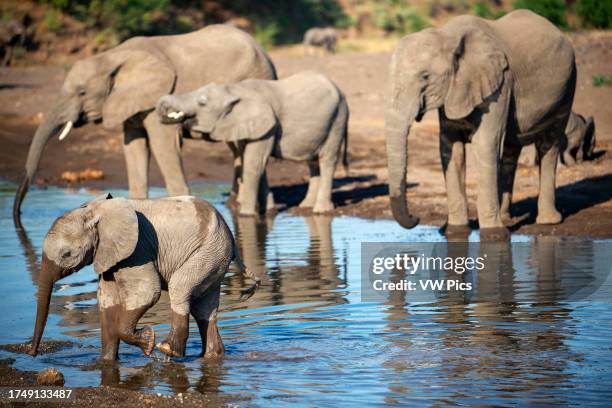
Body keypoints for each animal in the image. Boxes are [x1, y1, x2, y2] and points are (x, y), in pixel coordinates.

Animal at [13, 24, 276, 230]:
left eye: (82, 93)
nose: (18, 214)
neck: (114, 56)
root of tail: (265, 53)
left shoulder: (158, 95)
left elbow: (163, 145)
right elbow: (133, 146)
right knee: (239, 148)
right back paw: (244, 205)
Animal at [29, 194, 258, 360]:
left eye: (66, 255)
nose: (32, 354)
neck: (96, 210)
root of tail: (230, 235)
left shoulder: (137, 250)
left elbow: (148, 292)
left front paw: (148, 343)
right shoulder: (110, 254)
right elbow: (107, 301)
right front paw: (107, 361)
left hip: (209, 252)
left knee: (180, 288)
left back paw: (167, 350)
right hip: (214, 257)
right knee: (204, 308)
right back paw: (212, 356)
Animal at [158, 71, 350, 215]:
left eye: (202, 103)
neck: (233, 90)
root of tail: (341, 92)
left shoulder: (268, 124)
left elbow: (254, 164)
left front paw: (246, 215)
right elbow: (257, 163)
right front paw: (268, 211)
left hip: (337, 119)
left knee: (327, 159)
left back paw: (321, 210)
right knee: (312, 162)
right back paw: (305, 206)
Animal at [384, 9, 576, 241]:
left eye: (425, 76)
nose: (416, 217)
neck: (447, 35)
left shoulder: (500, 85)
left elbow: (486, 144)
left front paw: (495, 235)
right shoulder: (457, 90)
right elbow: (451, 149)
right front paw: (454, 232)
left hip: (568, 85)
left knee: (549, 145)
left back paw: (548, 221)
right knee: (511, 150)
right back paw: (507, 218)